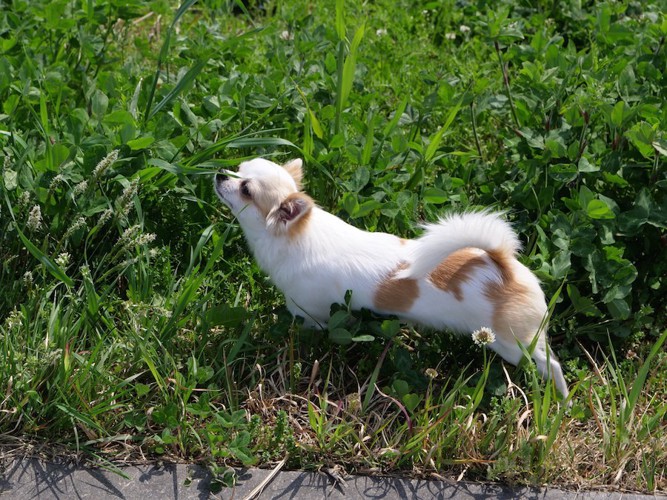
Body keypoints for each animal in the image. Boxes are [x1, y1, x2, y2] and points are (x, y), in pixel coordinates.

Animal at [217, 158, 572, 400]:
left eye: (246, 189)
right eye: (238, 168)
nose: (220, 174)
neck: (293, 235)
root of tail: (503, 265)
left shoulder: (309, 313)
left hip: (513, 343)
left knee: (550, 363)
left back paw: (562, 400)